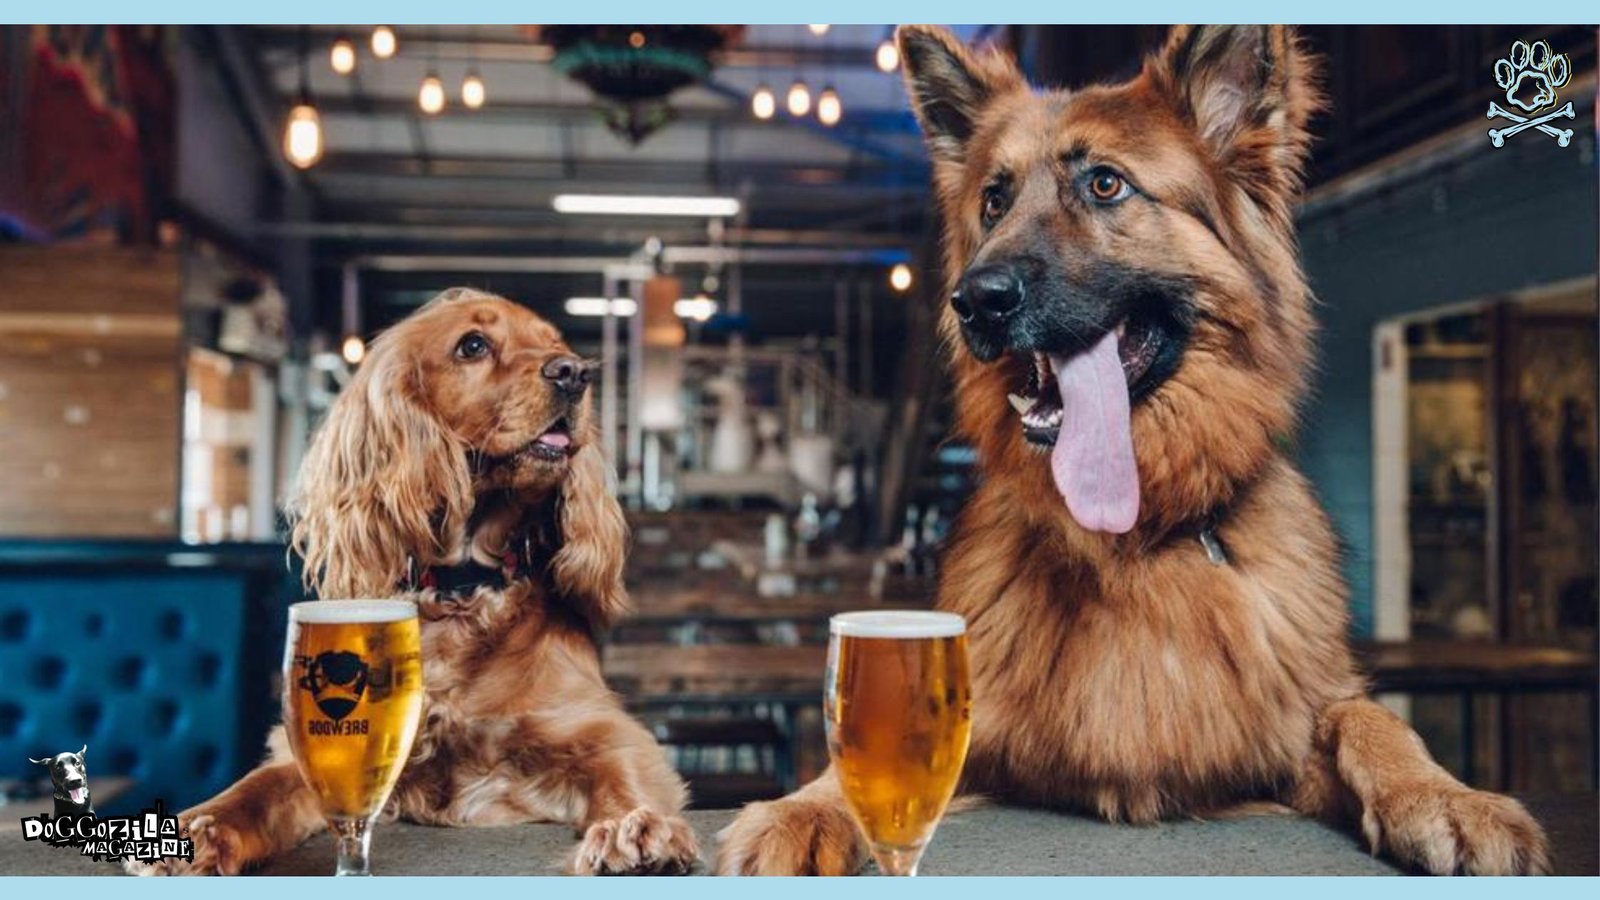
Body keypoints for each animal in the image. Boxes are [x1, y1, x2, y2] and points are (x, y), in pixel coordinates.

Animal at [129, 285, 694, 871]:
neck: (463, 585)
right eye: (473, 344)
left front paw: (635, 827)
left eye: (556, 345)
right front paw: (199, 827)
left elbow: (621, 776)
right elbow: (255, 789)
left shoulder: (597, 729)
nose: (574, 372)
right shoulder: (326, 750)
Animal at [720, 24, 1555, 871]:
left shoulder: (1284, 732)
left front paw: (1447, 796)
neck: (1131, 543)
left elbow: (1369, 718)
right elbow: (859, 758)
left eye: (1105, 185)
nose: (974, 302)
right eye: (993, 200)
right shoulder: (972, 735)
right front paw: (801, 810)